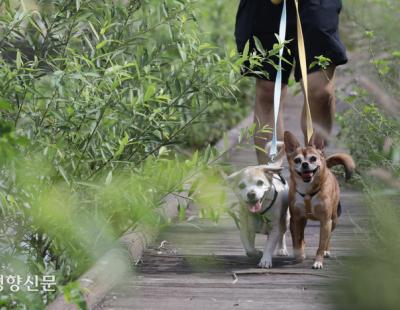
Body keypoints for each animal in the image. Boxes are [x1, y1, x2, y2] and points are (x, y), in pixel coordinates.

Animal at [282, 131, 354, 268]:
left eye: (313, 158)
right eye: (297, 160)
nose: (305, 164)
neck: (308, 191)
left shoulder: (325, 221)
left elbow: (321, 244)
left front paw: (318, 262)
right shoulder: (296, 219)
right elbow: (297, 240)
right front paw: (299, 255)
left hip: (333, 219)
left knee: (328, 238)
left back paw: (326, 251)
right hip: (304, 220)